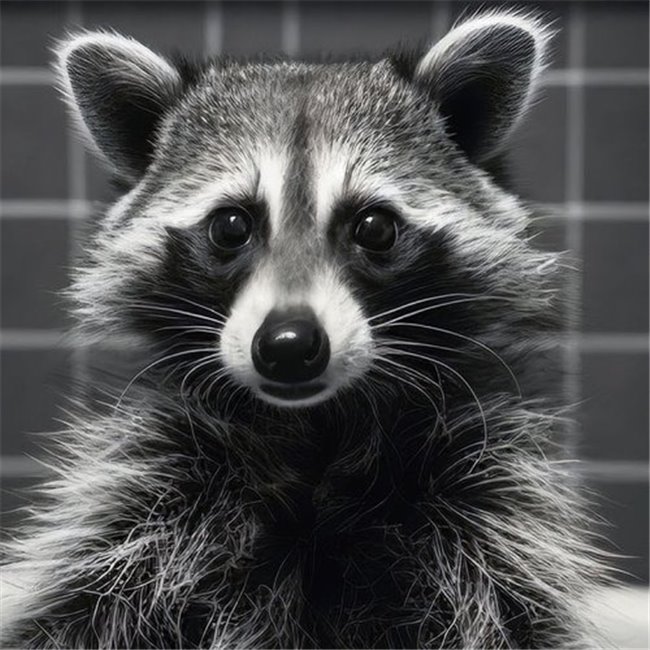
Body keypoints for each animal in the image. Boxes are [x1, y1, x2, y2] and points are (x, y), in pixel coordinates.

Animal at [1, 10, 610, 649]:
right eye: (231, 226)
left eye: (373, 227)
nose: (289, 347)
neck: (316, 428)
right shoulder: (147, 494)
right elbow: (81, 610)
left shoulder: (488, 503)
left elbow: (512, 612)